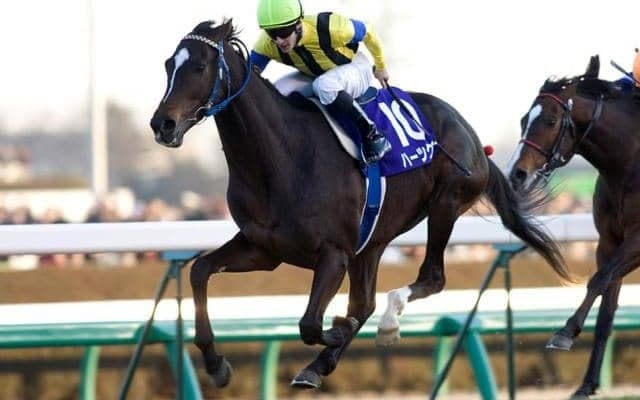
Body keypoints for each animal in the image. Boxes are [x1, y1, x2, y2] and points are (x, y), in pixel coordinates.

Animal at [150, 19, 570, 390]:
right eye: (169, 64)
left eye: (200, 66)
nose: (162, 124)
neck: (281, 158)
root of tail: (471, 135)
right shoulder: (263, 248)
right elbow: (200, 271)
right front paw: (215, 363)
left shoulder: (333, 253)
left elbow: (311, 324)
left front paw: (337, 331)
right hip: (374, 239)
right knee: (365, 301)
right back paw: (319, 365)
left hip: (445, 204)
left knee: (429, 278)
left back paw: (383, 326)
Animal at [506, 55, 640, 398]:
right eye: (524, 119)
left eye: (551, 121)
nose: (516, 174)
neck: (630, 164)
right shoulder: (609, 242)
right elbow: (606, 308)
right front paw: (587, 384)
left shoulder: (638, 241)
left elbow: (598, 280)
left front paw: (565, 331)